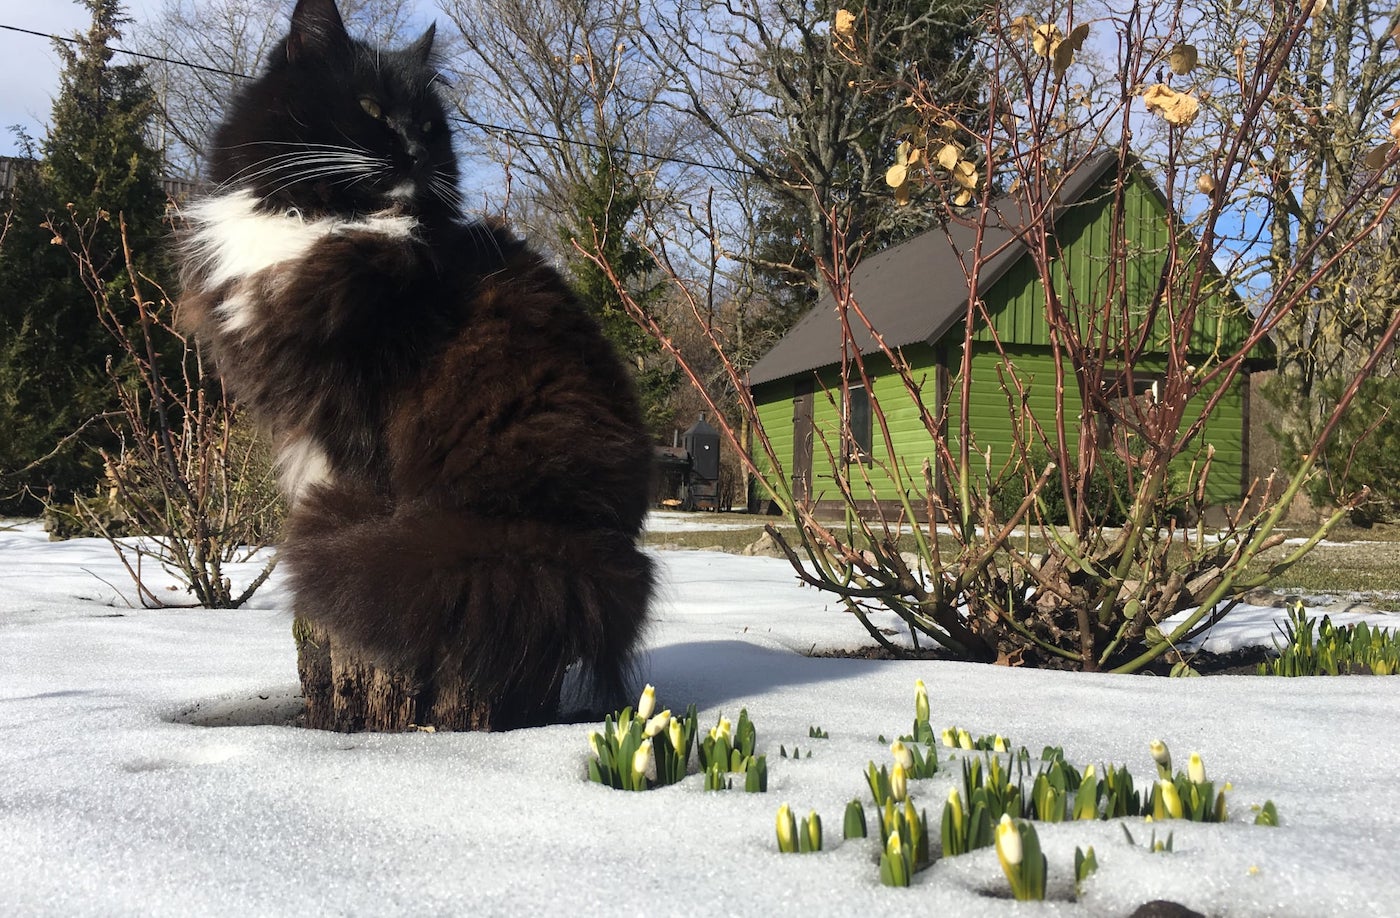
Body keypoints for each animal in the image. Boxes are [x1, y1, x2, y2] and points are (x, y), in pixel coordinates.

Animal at [177, 0, 652, 733]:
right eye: (372, 107)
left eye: (429, 125)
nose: (419, 151)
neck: (325, 220)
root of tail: (597, 547)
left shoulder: (357, 397)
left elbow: (358, 470)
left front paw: (342, 517)